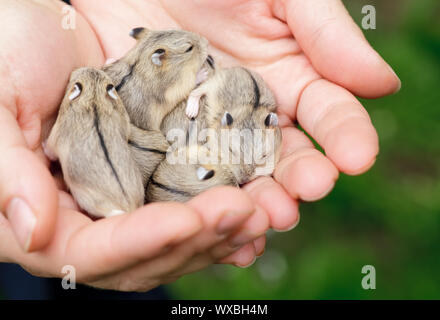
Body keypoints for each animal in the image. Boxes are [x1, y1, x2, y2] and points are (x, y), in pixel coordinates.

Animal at [45, 67, 144, 218]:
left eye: (74, 80)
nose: (75, 70)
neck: (93, 99)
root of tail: (130, 207)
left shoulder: (56, 132)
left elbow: (50, 150)